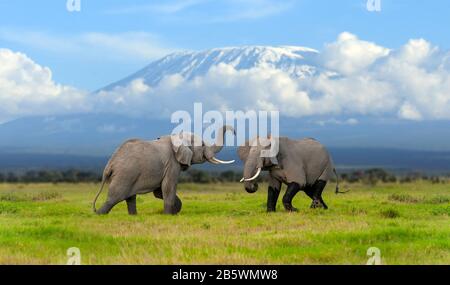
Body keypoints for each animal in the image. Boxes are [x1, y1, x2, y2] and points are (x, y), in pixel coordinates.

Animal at [93, 125, 237, 214]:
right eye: (202, 145)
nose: (235, 132)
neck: (177, 137)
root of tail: (110, 164)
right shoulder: (172, 163)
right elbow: (168, 187)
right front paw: (168, 214)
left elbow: (159, 191)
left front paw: (174, 210)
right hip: (125, 174)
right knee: (114, 198)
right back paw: (99, 215)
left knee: (130, 198)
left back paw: (134, 216)